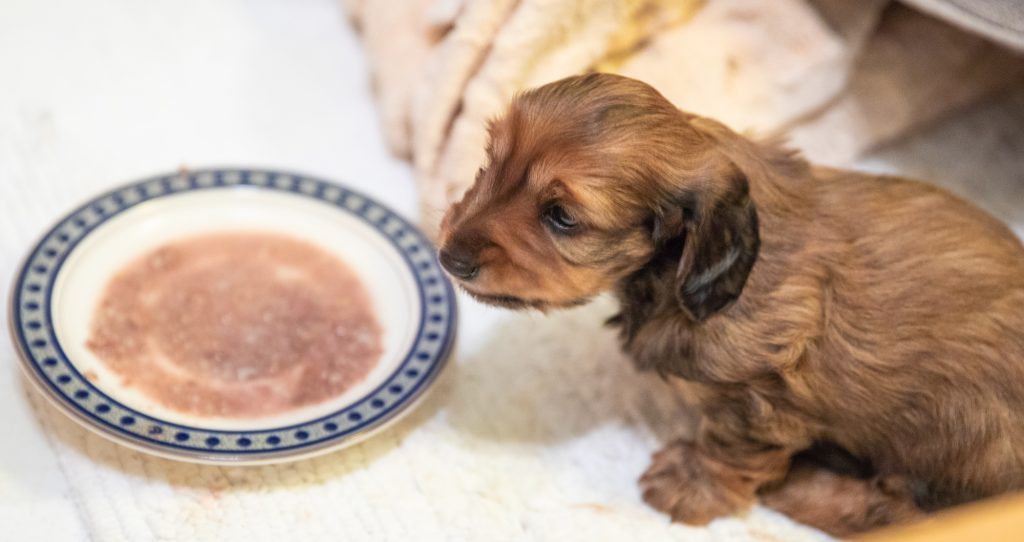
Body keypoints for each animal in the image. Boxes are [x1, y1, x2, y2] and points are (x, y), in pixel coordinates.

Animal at [436, 72, 1024, 536]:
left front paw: (687, 486)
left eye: (560, 216)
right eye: (490, 163)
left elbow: (726, 449)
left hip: (961, 428)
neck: (683, 268)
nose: (449, 256)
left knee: (896, 509)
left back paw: (804, 486)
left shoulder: (759, 399)